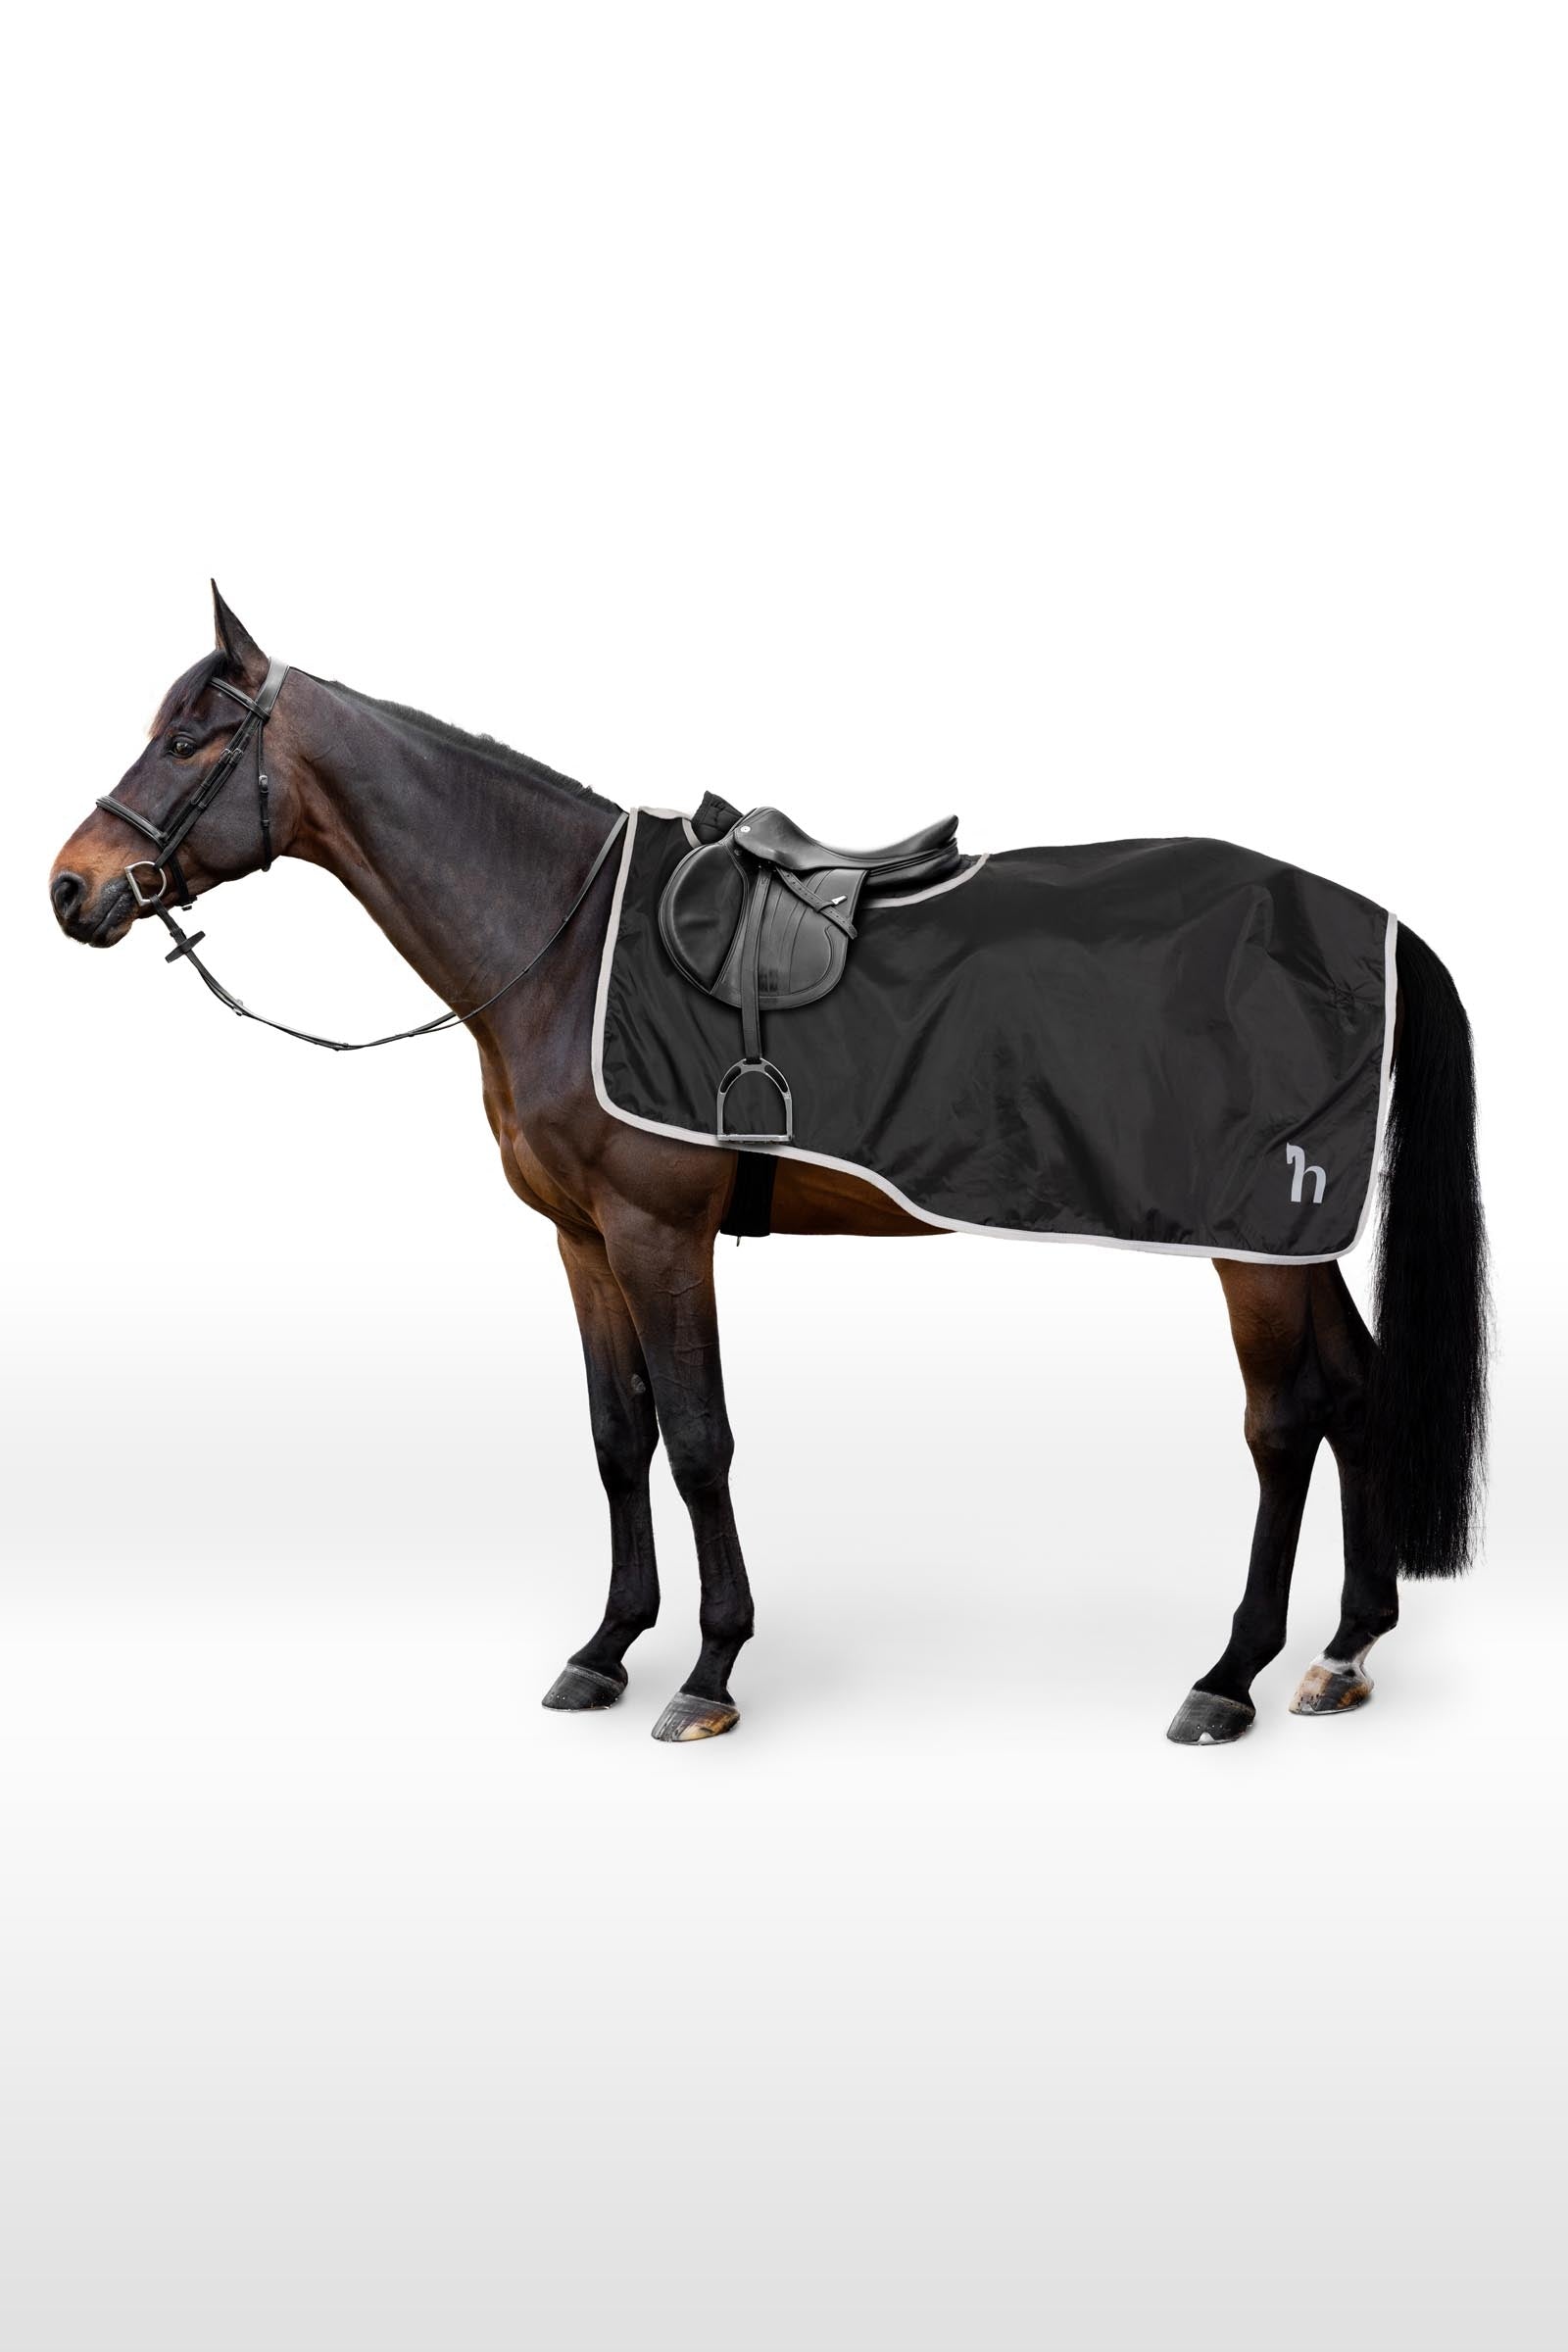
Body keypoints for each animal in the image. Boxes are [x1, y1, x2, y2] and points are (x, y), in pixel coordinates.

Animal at [49, 590, 1488, 1744]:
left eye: (192, 739)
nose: (71, 889)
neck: (563, 944)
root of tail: (1370, 921)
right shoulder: (582, 1240)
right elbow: (616, 1436)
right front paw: (605, 1649)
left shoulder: (657, 1231)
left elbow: (698, 1442)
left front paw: (709, 1671)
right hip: (1289, 1240)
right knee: (1355, 1393)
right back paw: (1344, 1653)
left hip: (1250, 1246)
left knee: (1283, 1423)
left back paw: (1231, 1676)